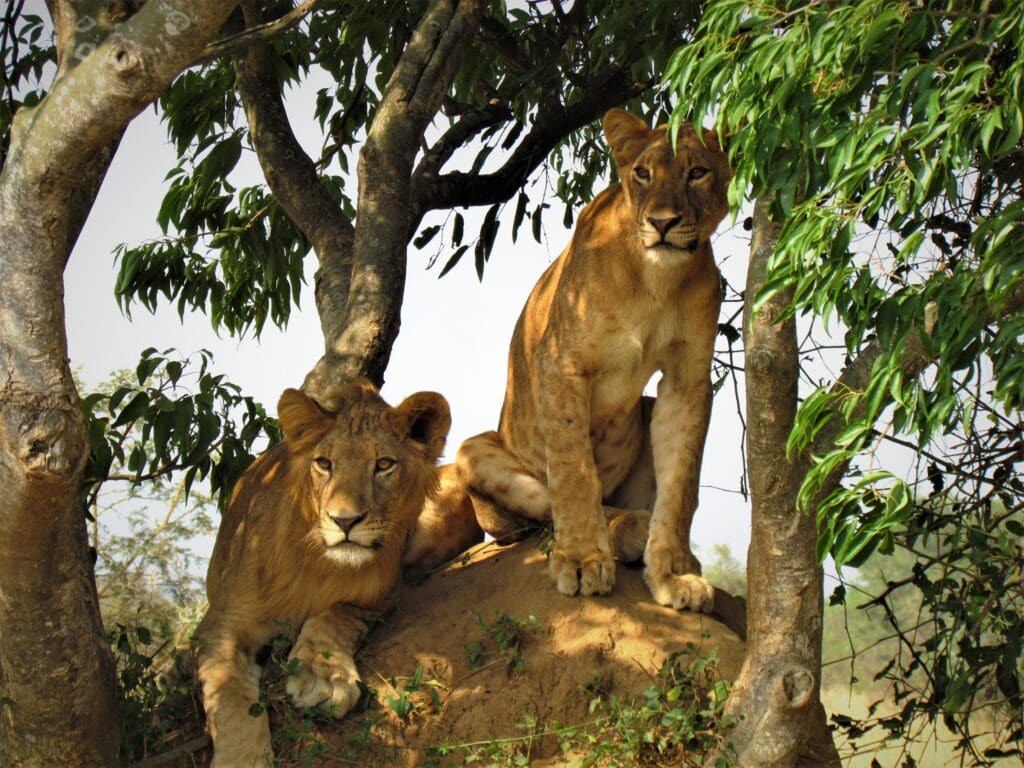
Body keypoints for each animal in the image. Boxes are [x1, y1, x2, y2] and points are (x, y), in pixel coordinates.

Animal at [194, 380, 480, 767]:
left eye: (384, 464)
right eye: (324, 463)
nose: (345, 521)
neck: (319, 564)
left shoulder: (380, 591)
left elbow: (336, 614)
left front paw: (322, 677)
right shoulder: (222, 622)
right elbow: (229, 696)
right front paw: (241, 757)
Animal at [456, 108, 731, 612]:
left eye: (697, 172)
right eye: (642, 174)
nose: (663, 223)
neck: (655, 279)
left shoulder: (688, 379)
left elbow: (681, 485)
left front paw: (673, 574)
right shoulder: (560, 362)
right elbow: (574, 471)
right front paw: (583, 560)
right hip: (474, 452)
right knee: (549, 507)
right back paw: (626, 530)